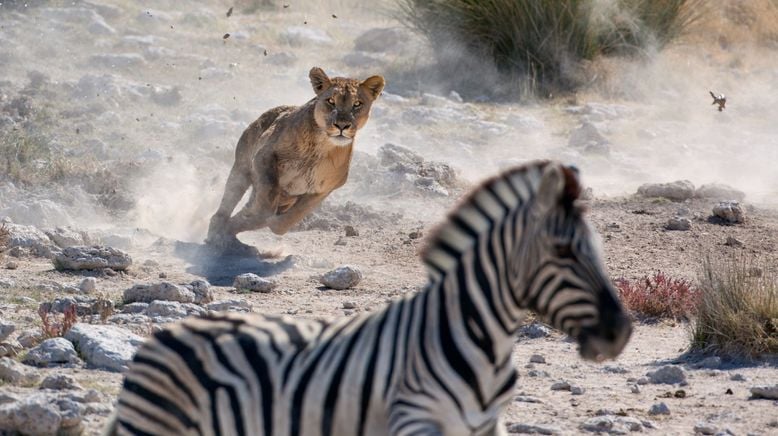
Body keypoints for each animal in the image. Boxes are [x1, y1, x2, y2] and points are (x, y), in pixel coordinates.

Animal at [107, 161, 632, 436]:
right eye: (563, 252)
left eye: (599, 249)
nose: (620, 332)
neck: (481, 341)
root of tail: (165, 333)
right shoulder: (414, 420)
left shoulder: (486, 426)